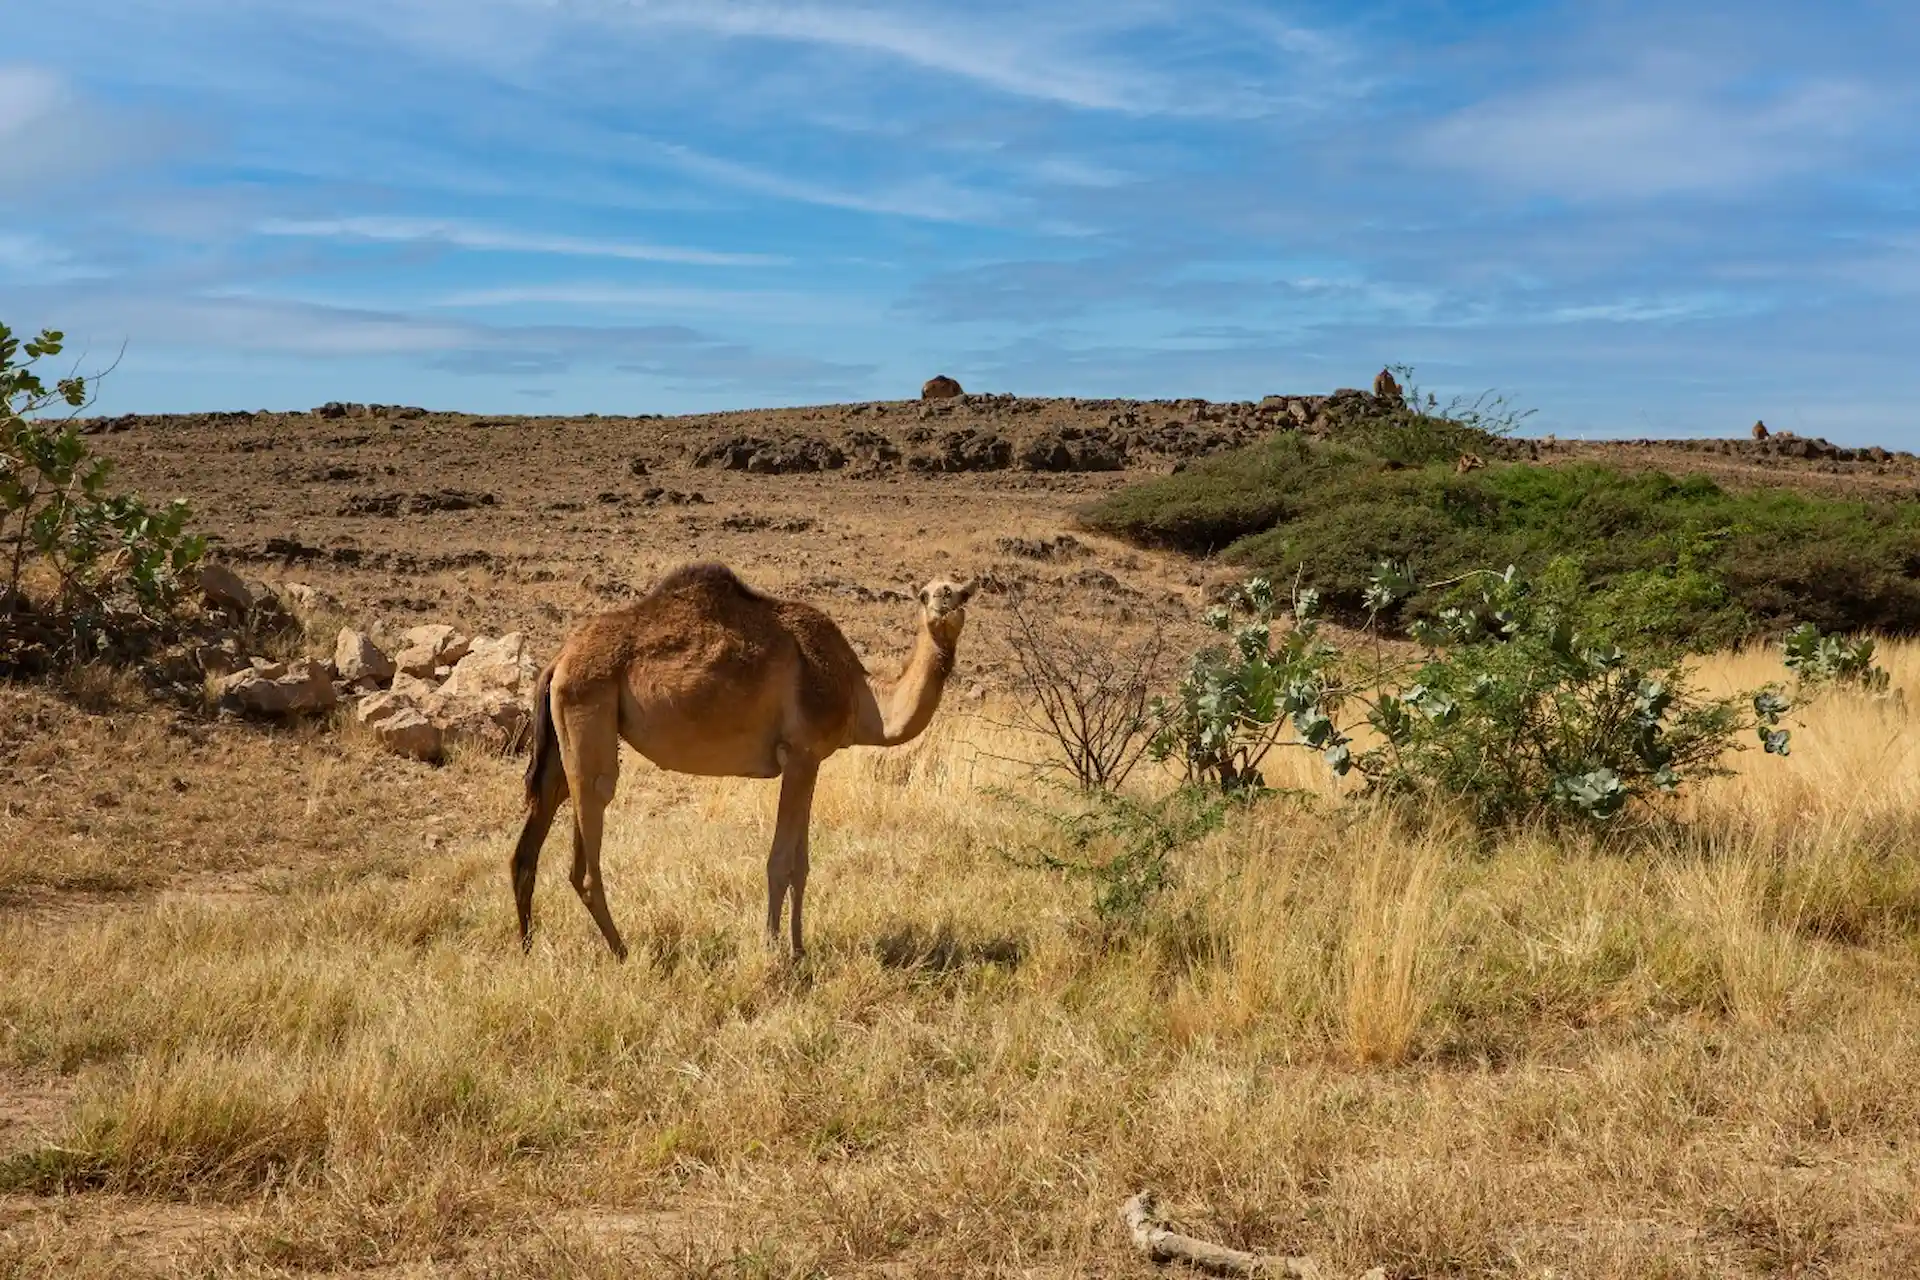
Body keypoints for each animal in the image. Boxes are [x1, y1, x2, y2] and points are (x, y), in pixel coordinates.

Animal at [511, 562, 978, 960]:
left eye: (961, 591)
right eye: (926, 593)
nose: (945, 603)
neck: (861, 696)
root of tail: (558, 659)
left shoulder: (812, 761)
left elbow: (802, 864)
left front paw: (799, 948)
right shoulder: (800, 754)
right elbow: (780, 862)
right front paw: (774, 951)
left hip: (560, 742)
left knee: (532, 839)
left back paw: (528, 948)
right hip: (588, 713)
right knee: (590, 835)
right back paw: (623, 952)